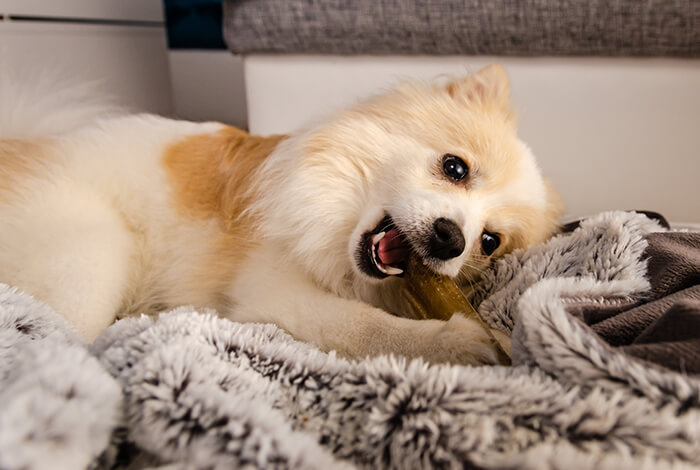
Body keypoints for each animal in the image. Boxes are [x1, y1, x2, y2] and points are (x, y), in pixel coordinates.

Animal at [0, 63, 556, 364]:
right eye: (455, 167)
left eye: (489, 242)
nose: (450, 239)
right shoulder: (270, 289)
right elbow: (361, 326)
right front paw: (455, 343)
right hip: (92, 258)